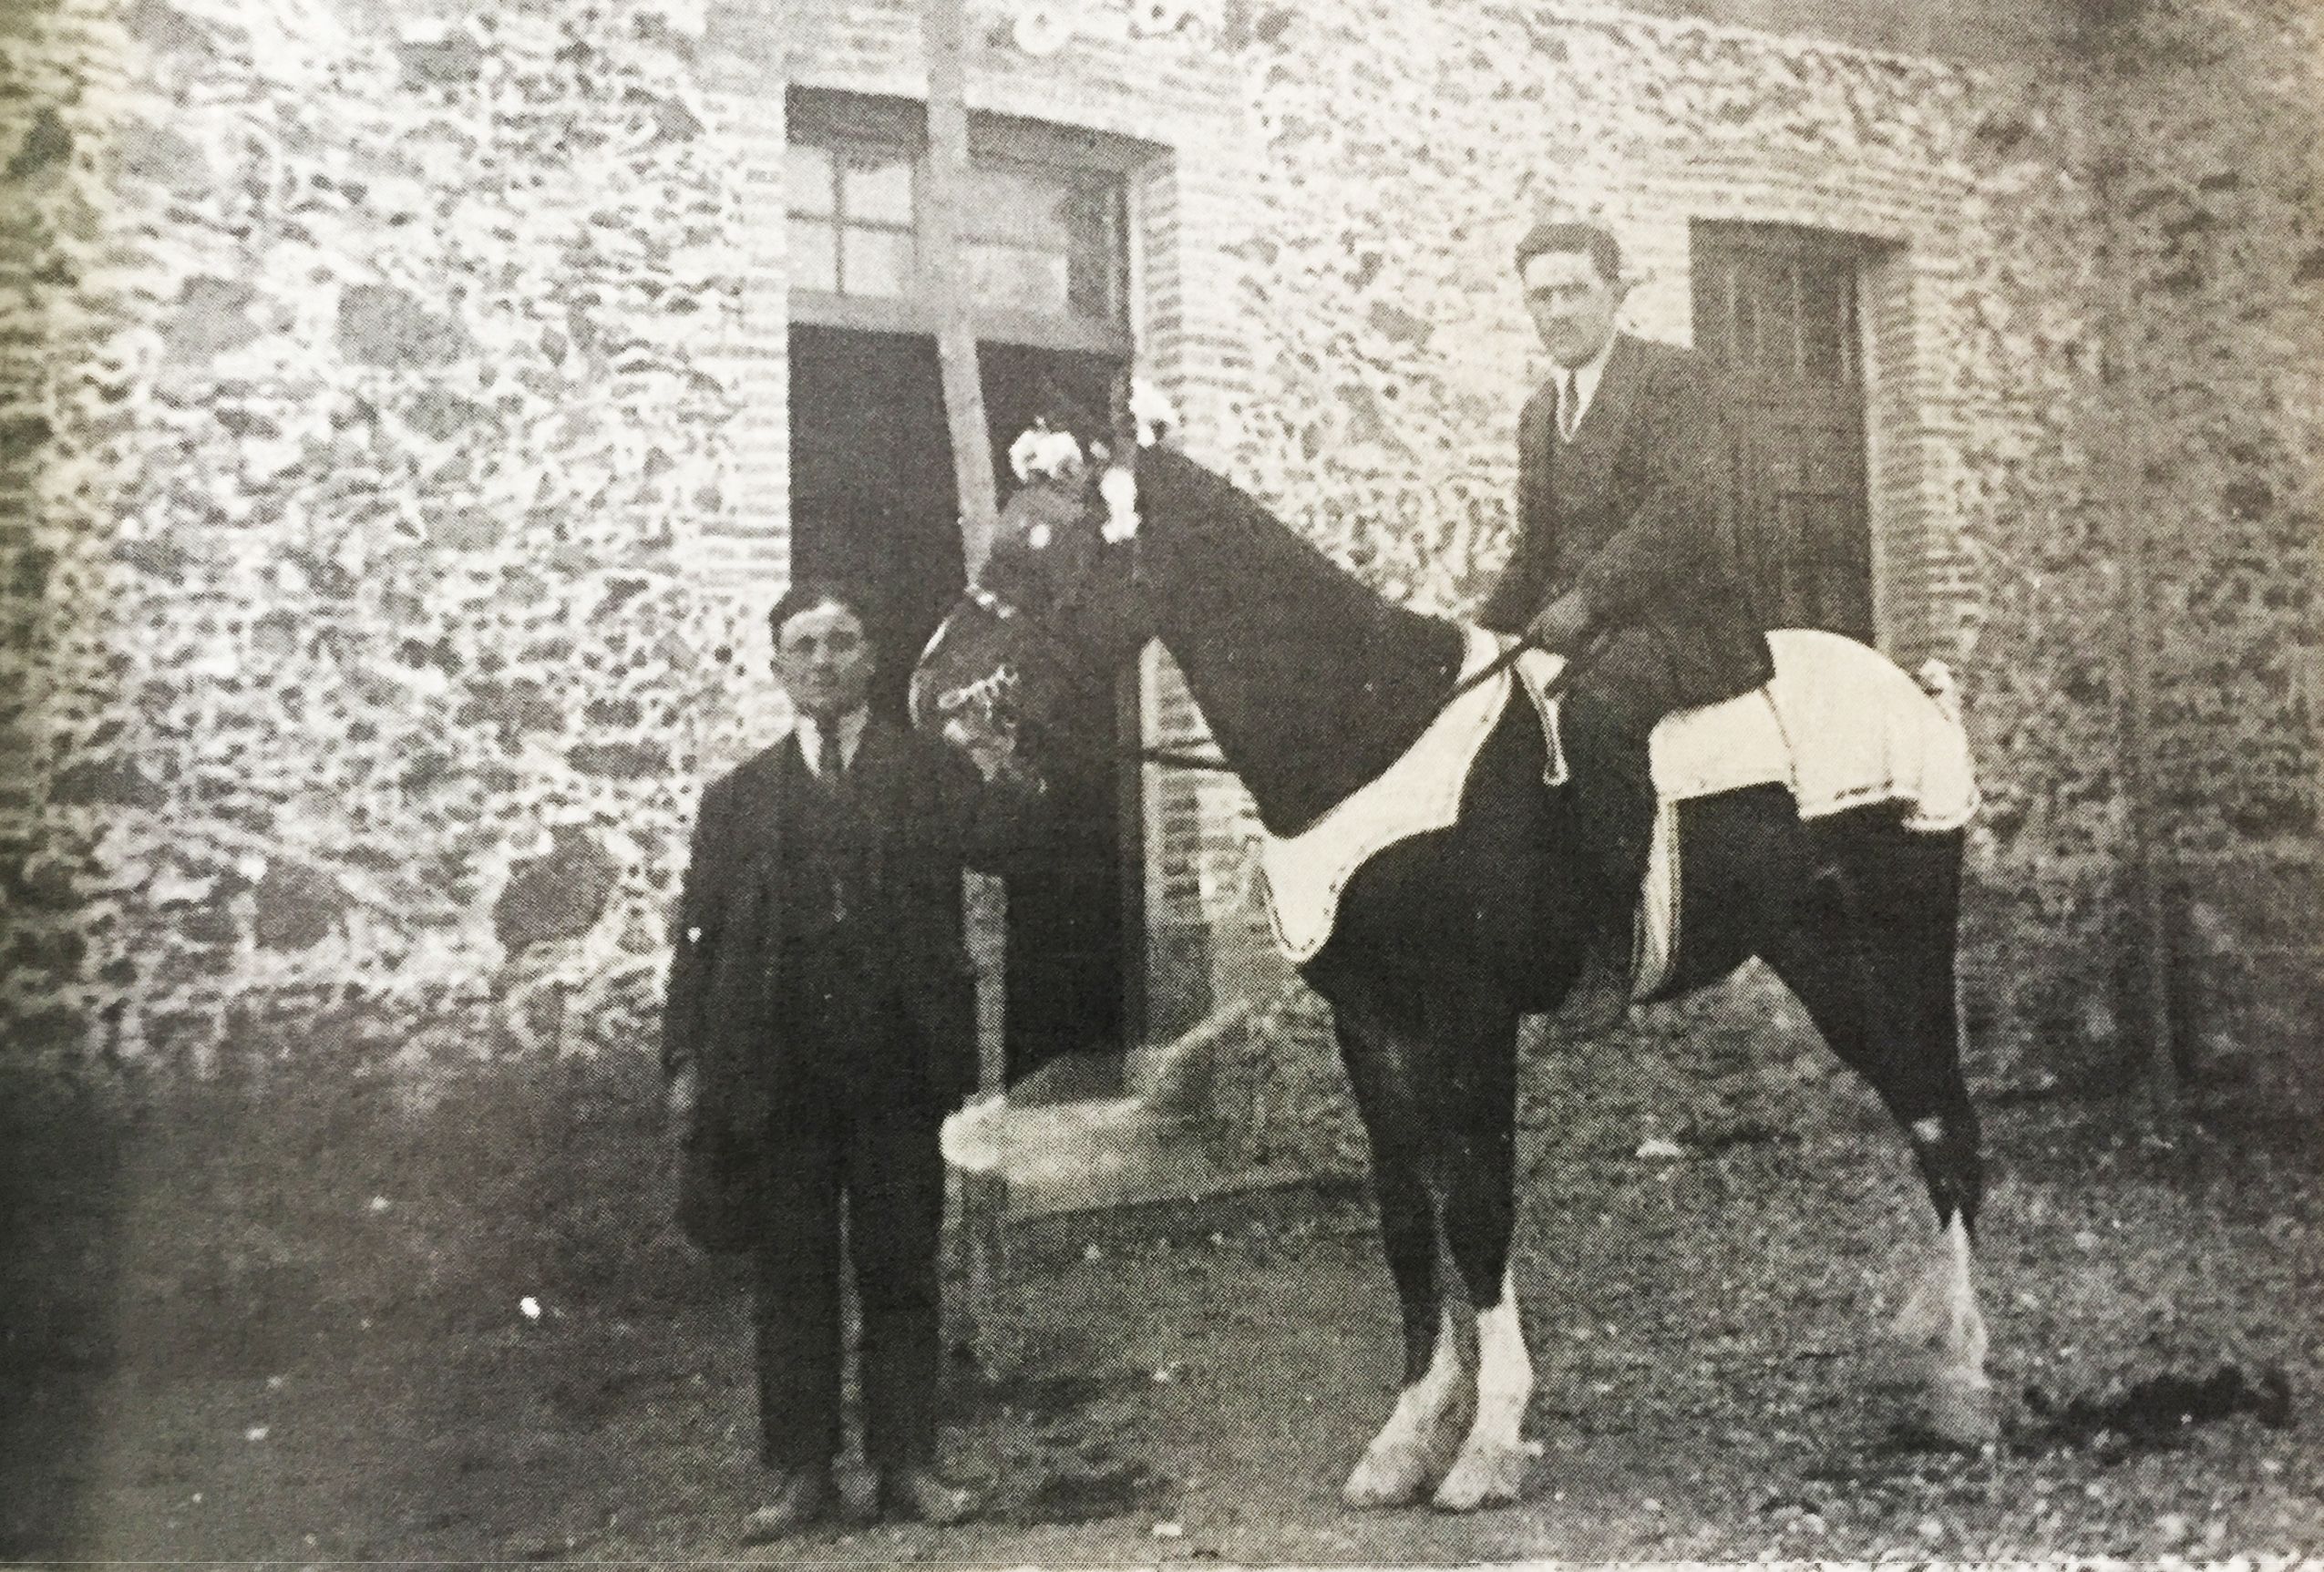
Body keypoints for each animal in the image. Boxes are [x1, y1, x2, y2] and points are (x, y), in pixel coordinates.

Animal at [906, 435, 1999, 1506]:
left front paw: (1491, 1442)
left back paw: (1963, 1380)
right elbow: (1406, 1217)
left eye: (1047, 559)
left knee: (1945, 1123)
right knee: (1923, 1116)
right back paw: (1935, 1337)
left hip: (1892, 954)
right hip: (1822, 961)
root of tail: (1919, 695)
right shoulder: (1370, 1026)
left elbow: (1477, 1207)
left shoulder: (1472, 1017)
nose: (930, 696)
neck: (1366, 727)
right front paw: (1406, 1436)